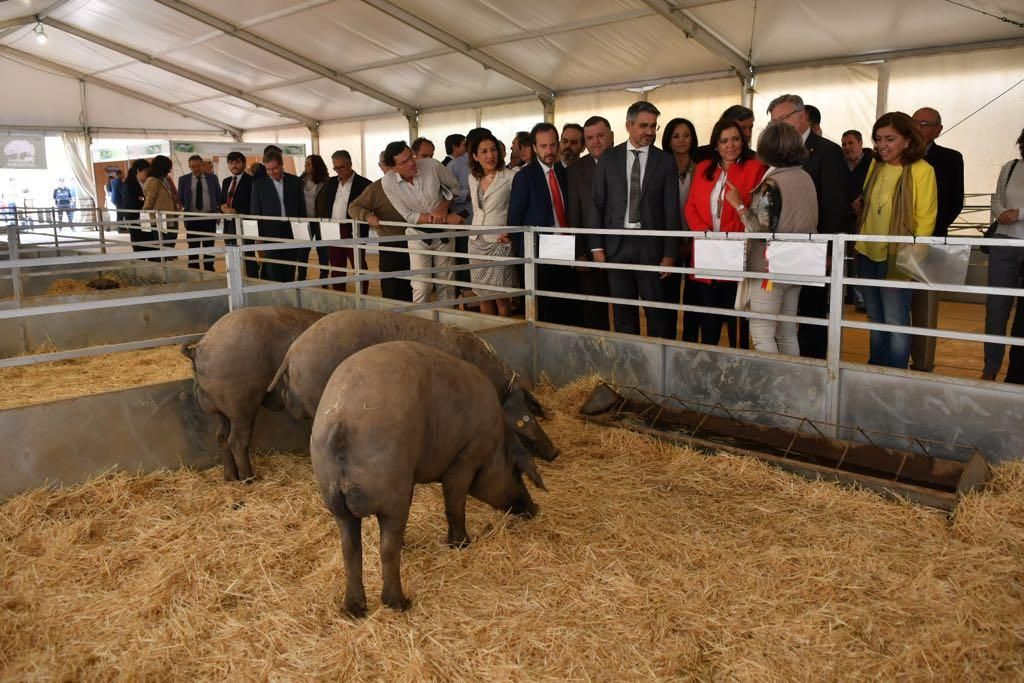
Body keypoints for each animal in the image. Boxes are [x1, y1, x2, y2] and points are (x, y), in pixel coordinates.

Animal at [180, 305, 321, 481]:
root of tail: (199, 349)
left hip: (220, 407)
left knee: (221, 436)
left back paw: (230, 477)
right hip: (241, 404)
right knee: (238, 441)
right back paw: (249, 478)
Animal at [309, 339, 544, 614]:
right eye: (517, 471)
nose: (535, 508)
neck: (494, 443)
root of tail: (341, 422)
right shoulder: (465, 457)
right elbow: (454, 505)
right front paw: (462, 544)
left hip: (335, 500)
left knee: (350, 547)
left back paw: (354, 609)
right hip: (391, 493)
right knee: (386, 548)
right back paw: (400, 603)